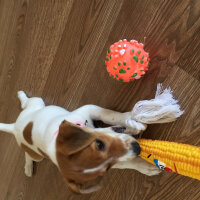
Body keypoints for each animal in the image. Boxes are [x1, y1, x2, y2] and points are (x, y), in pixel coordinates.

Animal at [0, 92, 159, 194]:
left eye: (100, 144)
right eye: (107, 168)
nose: (137, 148)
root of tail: (15, 127)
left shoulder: (89, 109)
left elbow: (109, 114)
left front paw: (132, 117)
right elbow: (129, 163)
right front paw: (146, 167)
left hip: (37, 103)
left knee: (28, 102)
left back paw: (21, 96)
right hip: (36, 154)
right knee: (29, 155)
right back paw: (28, 167)